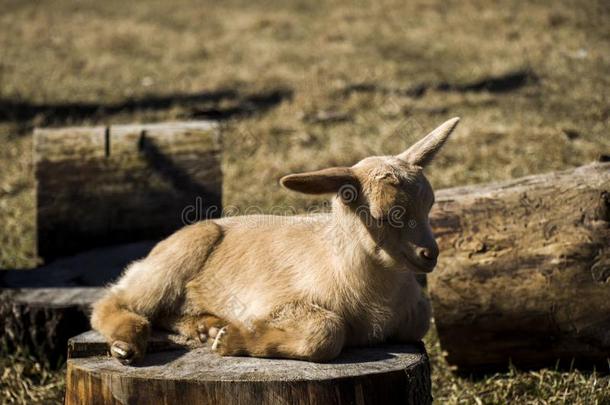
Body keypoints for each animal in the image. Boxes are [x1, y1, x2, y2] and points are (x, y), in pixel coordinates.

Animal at [90, 116, 458, 362]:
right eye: (382, 215)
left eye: (430, 205)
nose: (430, 254)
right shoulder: (274, 303)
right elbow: (327, 333)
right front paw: (231, 340)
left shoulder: (415, 314)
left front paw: (222, 336)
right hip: (175, 258)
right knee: (112, 302)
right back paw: (127, 344)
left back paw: (205, 326)